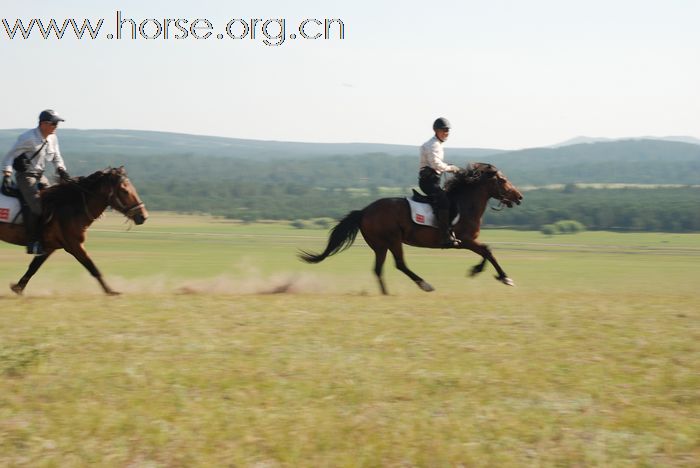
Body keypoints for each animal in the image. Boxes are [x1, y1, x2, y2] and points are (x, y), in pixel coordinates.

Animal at [1, 166, 146, 294]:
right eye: (124, 191)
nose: (143, 216)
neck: (71, 206)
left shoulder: (49, 247)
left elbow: (33, 267)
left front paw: (18, 288)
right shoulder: (75, 246)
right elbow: (92, 267)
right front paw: (110, 291)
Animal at [298, 163, 524, 294]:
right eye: (503, 180)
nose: (519, 197)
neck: (465, 203)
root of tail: (364, 211)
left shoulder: (468, 242)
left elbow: (486, 252)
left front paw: (479, 271)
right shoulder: (465, 241)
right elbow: (488, 251)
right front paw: (503, 278)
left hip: (380, 245)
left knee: (378, 268)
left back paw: (386, 293)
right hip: (392, 240)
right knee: (400, 264)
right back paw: (424, 285)